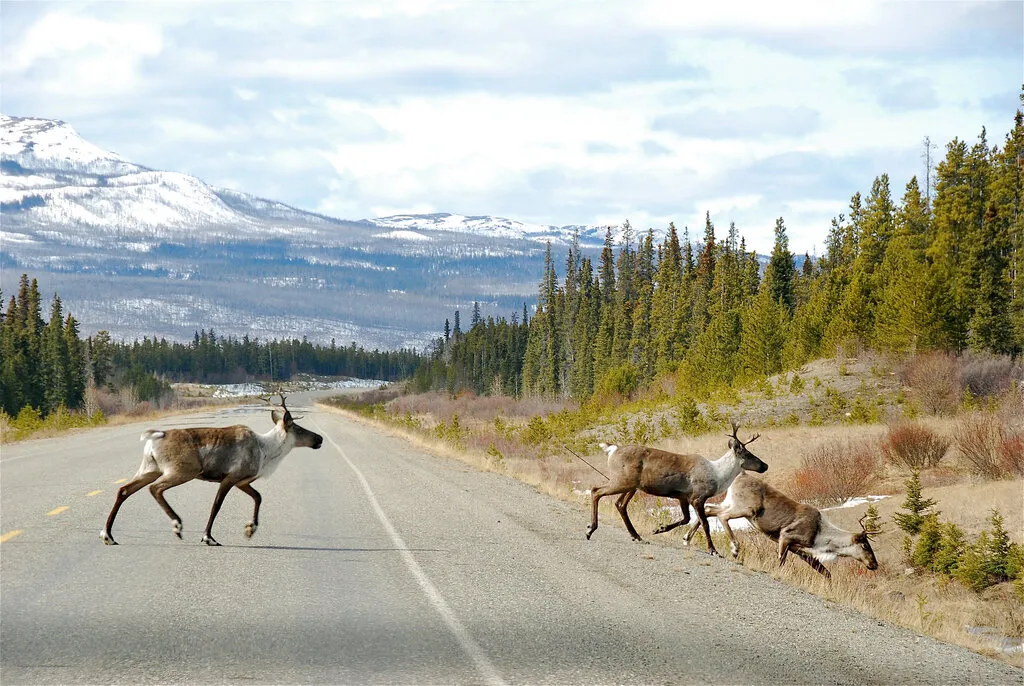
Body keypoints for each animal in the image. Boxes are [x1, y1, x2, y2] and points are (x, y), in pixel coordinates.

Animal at [101, 394, 323, 546]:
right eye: (298, 428)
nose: (319, 439)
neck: (265, 451)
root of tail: (153, 438)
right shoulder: (230, 478)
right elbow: (216, 506)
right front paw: (208, 537)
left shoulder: (242, 482)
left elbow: (258, 497)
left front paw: (250, 529)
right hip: (182, 471)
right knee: (155, 489)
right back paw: (177, 525)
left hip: (149, 468)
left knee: (124, 490)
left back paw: (108, 535)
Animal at [585, 422, 767, 557]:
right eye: (748, 454)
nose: (765, 465)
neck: (718, 475)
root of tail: (612, 450)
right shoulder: (697, 498)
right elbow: (705, 524)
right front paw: (713, 550)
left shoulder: (683, 497)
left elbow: (686, 519)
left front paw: (660, 529)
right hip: (622, 481)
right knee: (596, 490)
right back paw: (590, 529)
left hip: (631, 486)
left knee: (620, 504)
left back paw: (636, 536)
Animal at [703, 472, 879, 578]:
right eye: (865, 545)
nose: (874, 564)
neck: (821, 537)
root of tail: (740, 474)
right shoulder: (786, 536)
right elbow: (781, 562)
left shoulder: (802, 551)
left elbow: (825, 572)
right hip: (745, 509)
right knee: (721, 515)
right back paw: (734, 548)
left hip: (730, 503)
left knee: (708, 510)